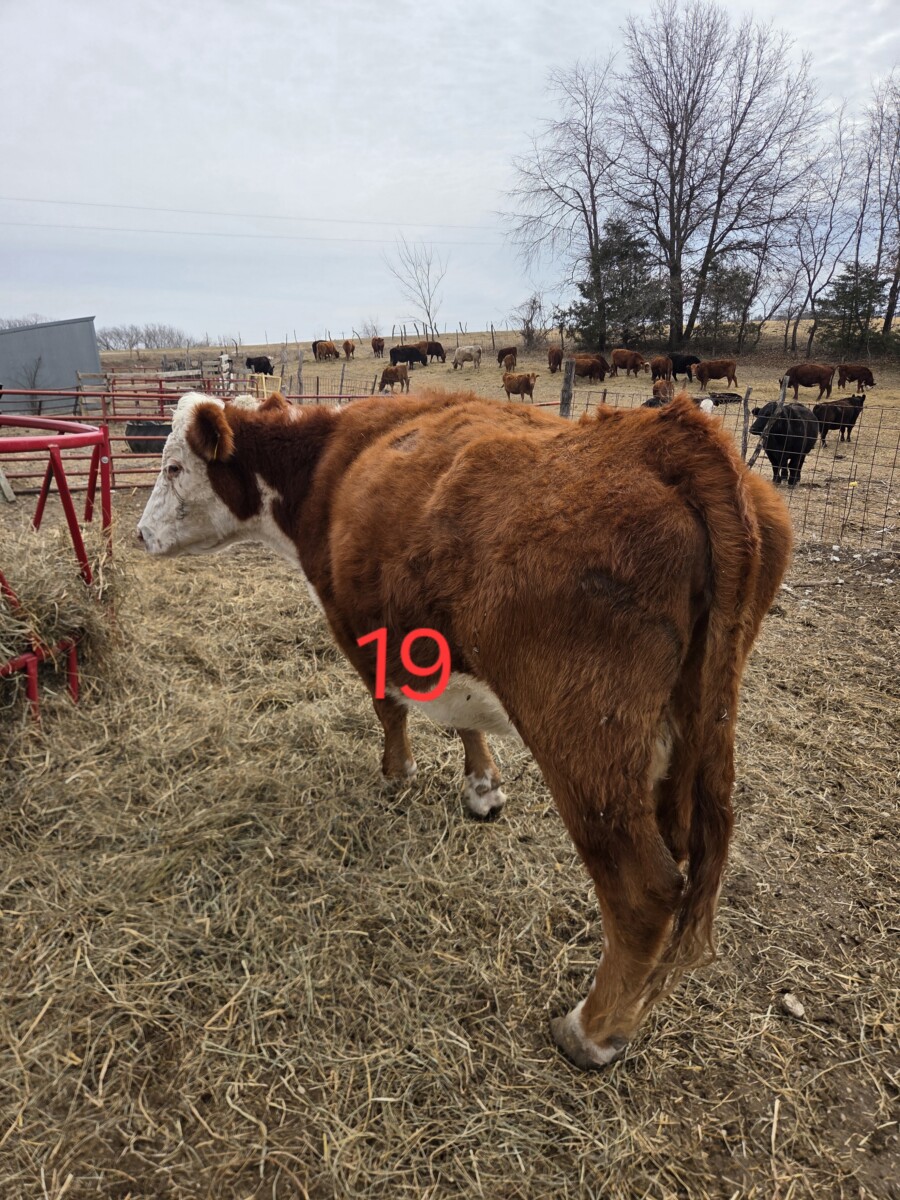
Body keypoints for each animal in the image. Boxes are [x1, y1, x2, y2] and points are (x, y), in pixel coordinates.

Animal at [138, 390, 792, 1069]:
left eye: (173, 467)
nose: (140, 535)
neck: (329, 462)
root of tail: (669, 438)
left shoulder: (361, 628)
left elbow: (390, 706)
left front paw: (397, 774)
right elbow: (461, 723)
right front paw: (482, 786)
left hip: (587, 744)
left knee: (645, 890)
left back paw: (593, 1030)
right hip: (690, 733)